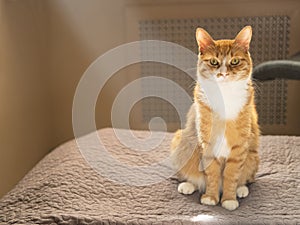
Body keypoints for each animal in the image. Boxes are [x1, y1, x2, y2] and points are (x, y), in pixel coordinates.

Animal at [171, 26, 260, 211]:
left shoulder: (239, 147)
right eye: (213, 62)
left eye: (234, 61)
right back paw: (188, 185)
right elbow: (211, 174)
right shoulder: (207, 144)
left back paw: (241, 189)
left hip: (253, 156)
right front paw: (211, 197)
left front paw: (229, 199)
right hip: (180, 141)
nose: (223, 74)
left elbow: (231, 176)